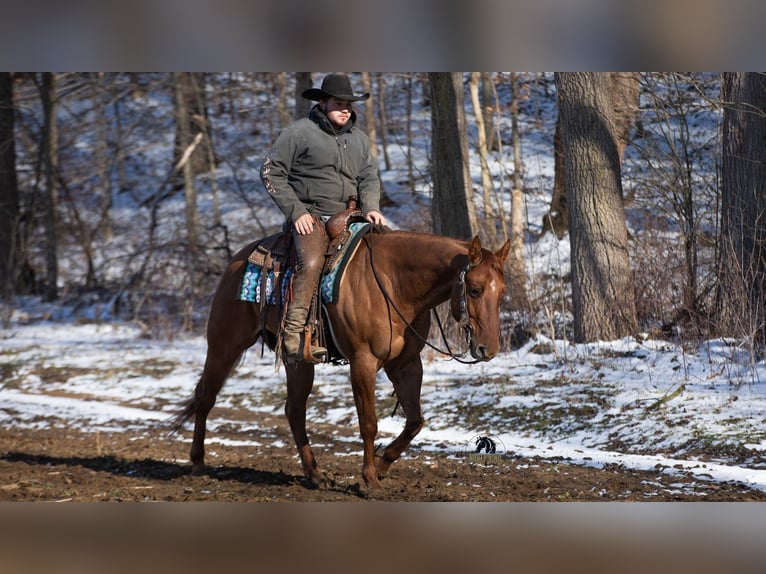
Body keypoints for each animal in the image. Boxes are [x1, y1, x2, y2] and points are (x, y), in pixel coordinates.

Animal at [173, 229, 510, 493]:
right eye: (475, 289)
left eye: (502, 293)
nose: (488, 349)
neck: (394, 283)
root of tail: (237, 260)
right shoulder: (363, 362)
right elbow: (369, 423)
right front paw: (370, 479)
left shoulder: (406, 364)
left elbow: (415, 421)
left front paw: (383, 465)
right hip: (225, 345)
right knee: (205, 397)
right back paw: (198, 462)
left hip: (299, 362)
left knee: (294, 410)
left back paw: (315, 475)